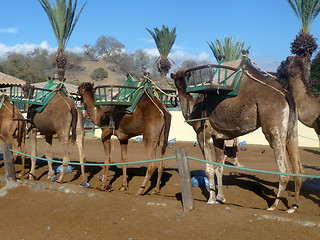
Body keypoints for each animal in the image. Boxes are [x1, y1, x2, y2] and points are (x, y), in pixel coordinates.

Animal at [171, 56, 304, 214]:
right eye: (177, 82)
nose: (181, 89)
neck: (193, 110)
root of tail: (285, 94)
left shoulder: (204, 136)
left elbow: (209, 170)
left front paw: (211, 200)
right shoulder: (218, 138)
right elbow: (219, 168)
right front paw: (221, 198)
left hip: (274, 130)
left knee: (284, 170)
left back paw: (273, 206)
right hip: (292, 131)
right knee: (298, 168)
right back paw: (293, 207)